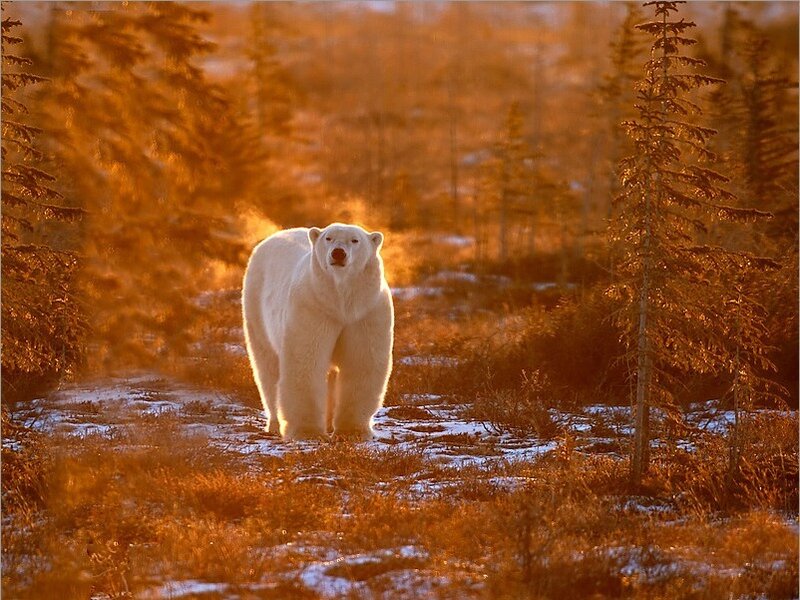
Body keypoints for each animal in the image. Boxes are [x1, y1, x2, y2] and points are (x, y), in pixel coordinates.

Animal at [242, 223, 394, 441]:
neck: (340, 301)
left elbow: (362, 362)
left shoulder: (366, 312)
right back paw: (275, 423)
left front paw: (353, 431)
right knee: (267, 367)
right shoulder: (313, 306)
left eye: (355, 240)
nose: (338, 253)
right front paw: (307, 431)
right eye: (328, 238)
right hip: (256, 305)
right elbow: (306, 361)